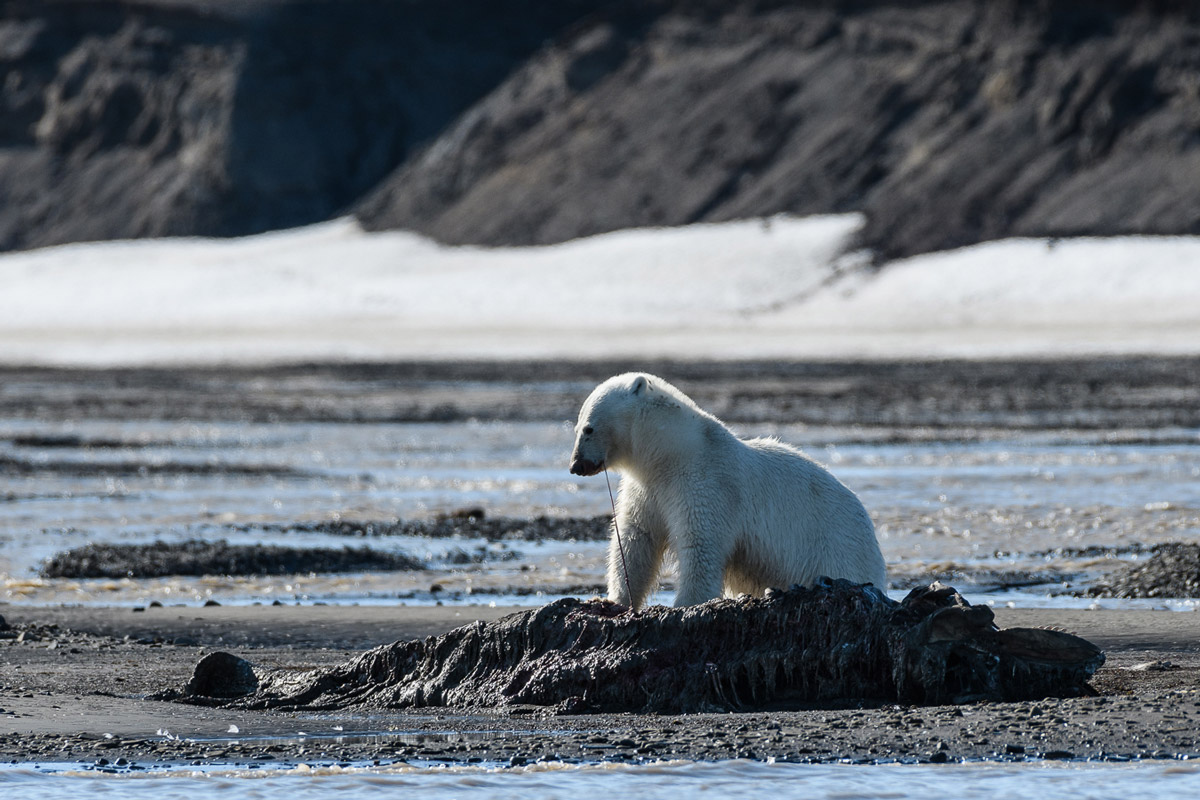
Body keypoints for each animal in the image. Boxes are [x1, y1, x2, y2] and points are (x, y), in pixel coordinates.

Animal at [569, 372, 886, 609]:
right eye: (577, 427)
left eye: (588, 429)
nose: (575, 465)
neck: (670, 454)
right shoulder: (646, 490)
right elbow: (636, 540)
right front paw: (611, 601)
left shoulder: (707, 484)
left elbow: (700, 546)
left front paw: (684, 604)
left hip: (835, 550)